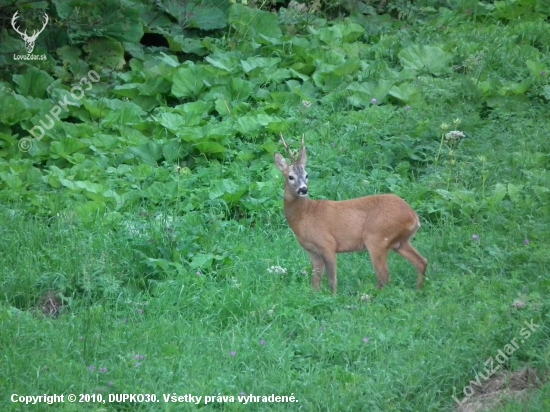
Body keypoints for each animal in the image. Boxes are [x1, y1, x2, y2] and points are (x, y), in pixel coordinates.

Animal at [278, 134, 430, 292]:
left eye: (307, 175)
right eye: (290, 176)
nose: (303, 189)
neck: (304, 215)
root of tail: (414, 216)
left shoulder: (328, 244)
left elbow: (332, 280)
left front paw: (333, 296)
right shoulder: (313, 251)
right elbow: (315, 283)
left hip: (377, 238)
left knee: (385, 277)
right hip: (400, 242)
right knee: (421, 261)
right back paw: (417, 290)